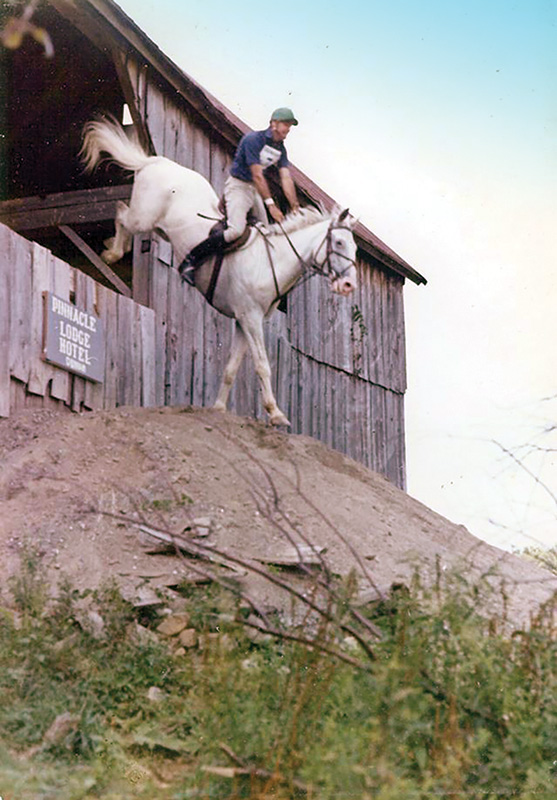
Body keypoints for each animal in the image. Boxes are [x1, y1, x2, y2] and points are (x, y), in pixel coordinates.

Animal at [80, 118, 358, 426]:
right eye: (339, 242)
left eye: (354, 247)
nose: (348, 286)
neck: (272, 260)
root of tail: (155, 161)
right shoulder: (250, 318)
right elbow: (262, 365)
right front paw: (276, 414)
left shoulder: (242, 320)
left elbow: (231, 367)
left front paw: (218, 407)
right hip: (143, 216)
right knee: (120, 212)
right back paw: (112, 252)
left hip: (158, 227)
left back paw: (112, 246)